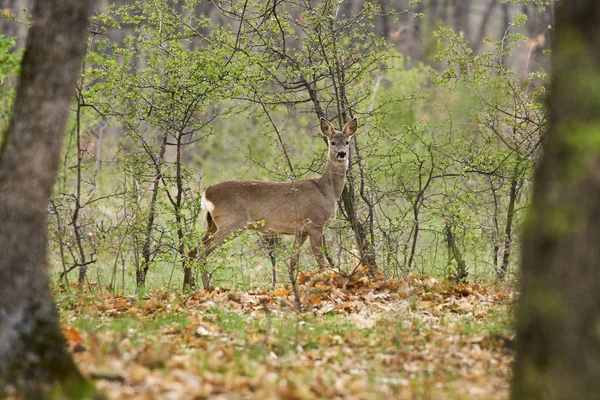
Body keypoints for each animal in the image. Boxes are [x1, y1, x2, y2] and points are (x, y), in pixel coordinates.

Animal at [195, 117, 358, 290]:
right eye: (332, 142)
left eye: (347, 141)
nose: (341, 153)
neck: (327, 190)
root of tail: (207, 192)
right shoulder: (315, 224)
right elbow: (321, 262)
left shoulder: (301, 230)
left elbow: (293, 261)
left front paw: (293, 285)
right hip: (232, 222)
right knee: (202, 249)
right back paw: (205, 288)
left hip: (212, 223)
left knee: (194, 247)